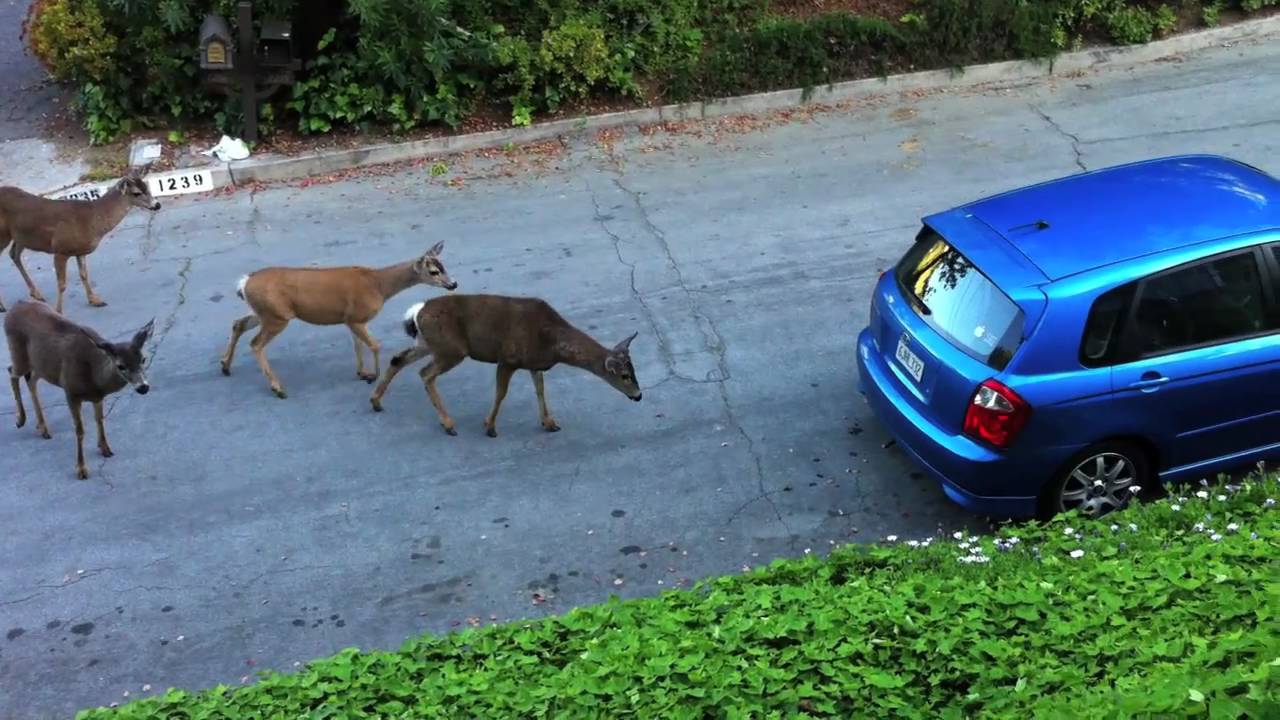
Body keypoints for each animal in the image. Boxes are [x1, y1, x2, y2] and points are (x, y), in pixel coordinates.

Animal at [0, 167, 162, 315]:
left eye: (147, 188)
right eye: (137, 193)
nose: (157, 205)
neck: (93, 220)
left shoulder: (80, 251)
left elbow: (84, 275)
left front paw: (95, 300)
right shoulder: (60, 249)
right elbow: (62, 284)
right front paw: (58, 311)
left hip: (20, 236)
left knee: (14, 254)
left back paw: (36, 294)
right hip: (4, 235)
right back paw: (3, 306)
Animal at [4, 300, 154, 480]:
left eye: (143, 359)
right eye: (121, 365)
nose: (143, 387)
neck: (94, 378)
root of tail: (15, 306)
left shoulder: (98, 398)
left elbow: (100, 420)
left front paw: (105, 448)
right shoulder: (70, 392)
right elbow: (80, 430)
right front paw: (81, 469)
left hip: (40, 365)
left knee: (30, 379)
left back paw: (42, 428)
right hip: (18, 353)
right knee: (11, 371)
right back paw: (20, 420)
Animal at [219, 241, 458, 399]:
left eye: (444, 266)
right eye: (434, 271)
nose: (453, 284)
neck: (378, 285)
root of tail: (245, 282)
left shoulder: (350, 318)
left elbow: (358, 345)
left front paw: (362, 373)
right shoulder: (357, 316)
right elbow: (375, 345)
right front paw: (373, 376)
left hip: (265, 312)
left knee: (238, 323)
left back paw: (225, 366)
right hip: (276, 316)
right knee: (255, 343)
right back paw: (278, 388)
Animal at [368, 293, 642, 437]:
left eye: (633, 370)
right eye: (625, 375)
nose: (639, 395)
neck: (551, 340)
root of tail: (418, 312)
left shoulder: (533, 363)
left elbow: (540, 389)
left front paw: (549, 423)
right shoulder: (508, 358)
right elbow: (501, 393)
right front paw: (490, 427)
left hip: (430, 343)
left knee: (398, 358)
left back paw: (376, 402)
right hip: (452, 350)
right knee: (425, 374)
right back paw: (448, 423)